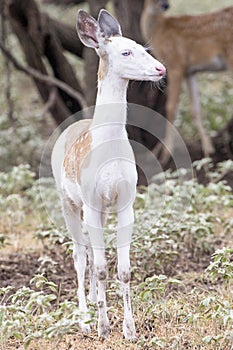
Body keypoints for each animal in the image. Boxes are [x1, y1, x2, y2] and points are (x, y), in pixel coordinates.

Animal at [51, 9, 166, 340]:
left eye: (143, 47)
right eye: (125, 52)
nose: (160, 68)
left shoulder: (126, 200)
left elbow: (123, 270)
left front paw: (130, 329)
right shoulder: (90, 201)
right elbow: (101, 267)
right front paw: (103, 328)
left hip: (98, 210)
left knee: (89, 253)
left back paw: (93, 301)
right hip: (68, 201)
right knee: (79, 256)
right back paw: (84, 319)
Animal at [140, 0, 233, 163]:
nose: (165, 5)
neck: (159, 31)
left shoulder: (175, 65)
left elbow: (171, 108)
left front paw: (165, 155)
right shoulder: (190, 71)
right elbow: (195, 108)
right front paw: (208, 149)